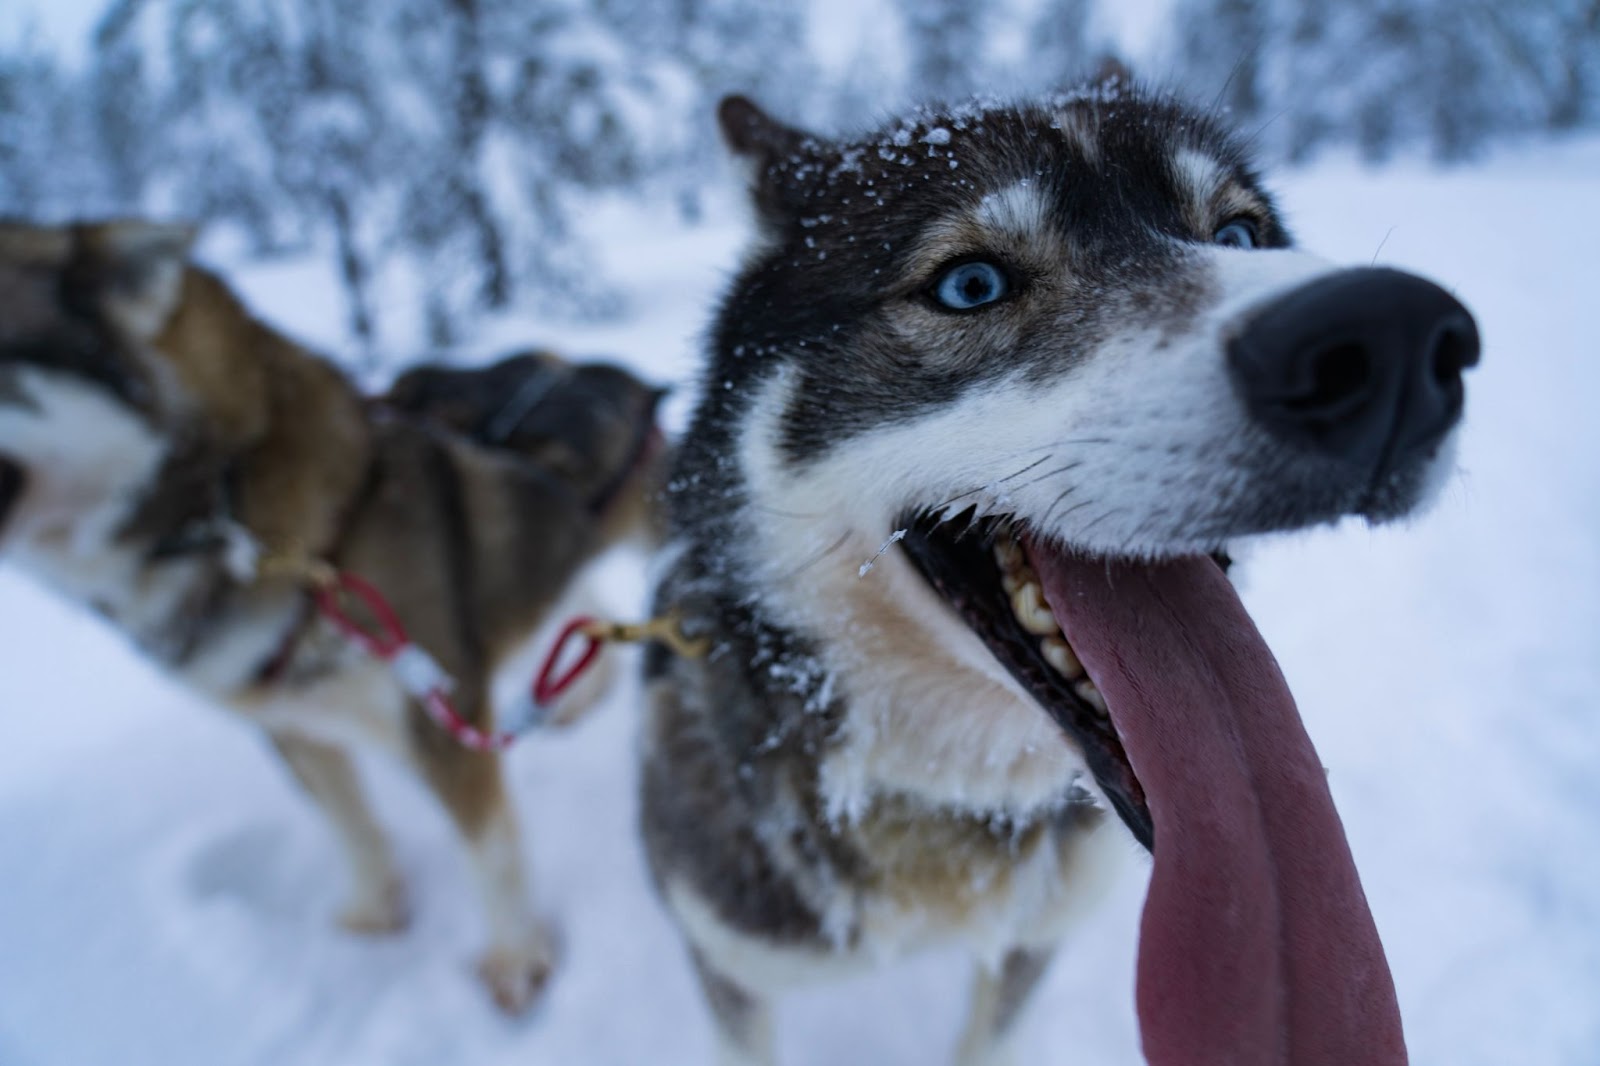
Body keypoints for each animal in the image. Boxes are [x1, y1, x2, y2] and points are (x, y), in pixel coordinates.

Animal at [0, 222, 662, 1011]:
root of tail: (577, 363)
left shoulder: (435, 722)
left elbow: (488, 851)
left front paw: (516, 958)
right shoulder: (287, 723)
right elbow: (350, 826)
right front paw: (376, 909)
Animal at [640, 83, 1472, 1062]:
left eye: (1239, 235)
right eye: (970, 285)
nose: (1394, 340)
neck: (944, 806)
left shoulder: (1029, 947)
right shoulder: (731, 968)